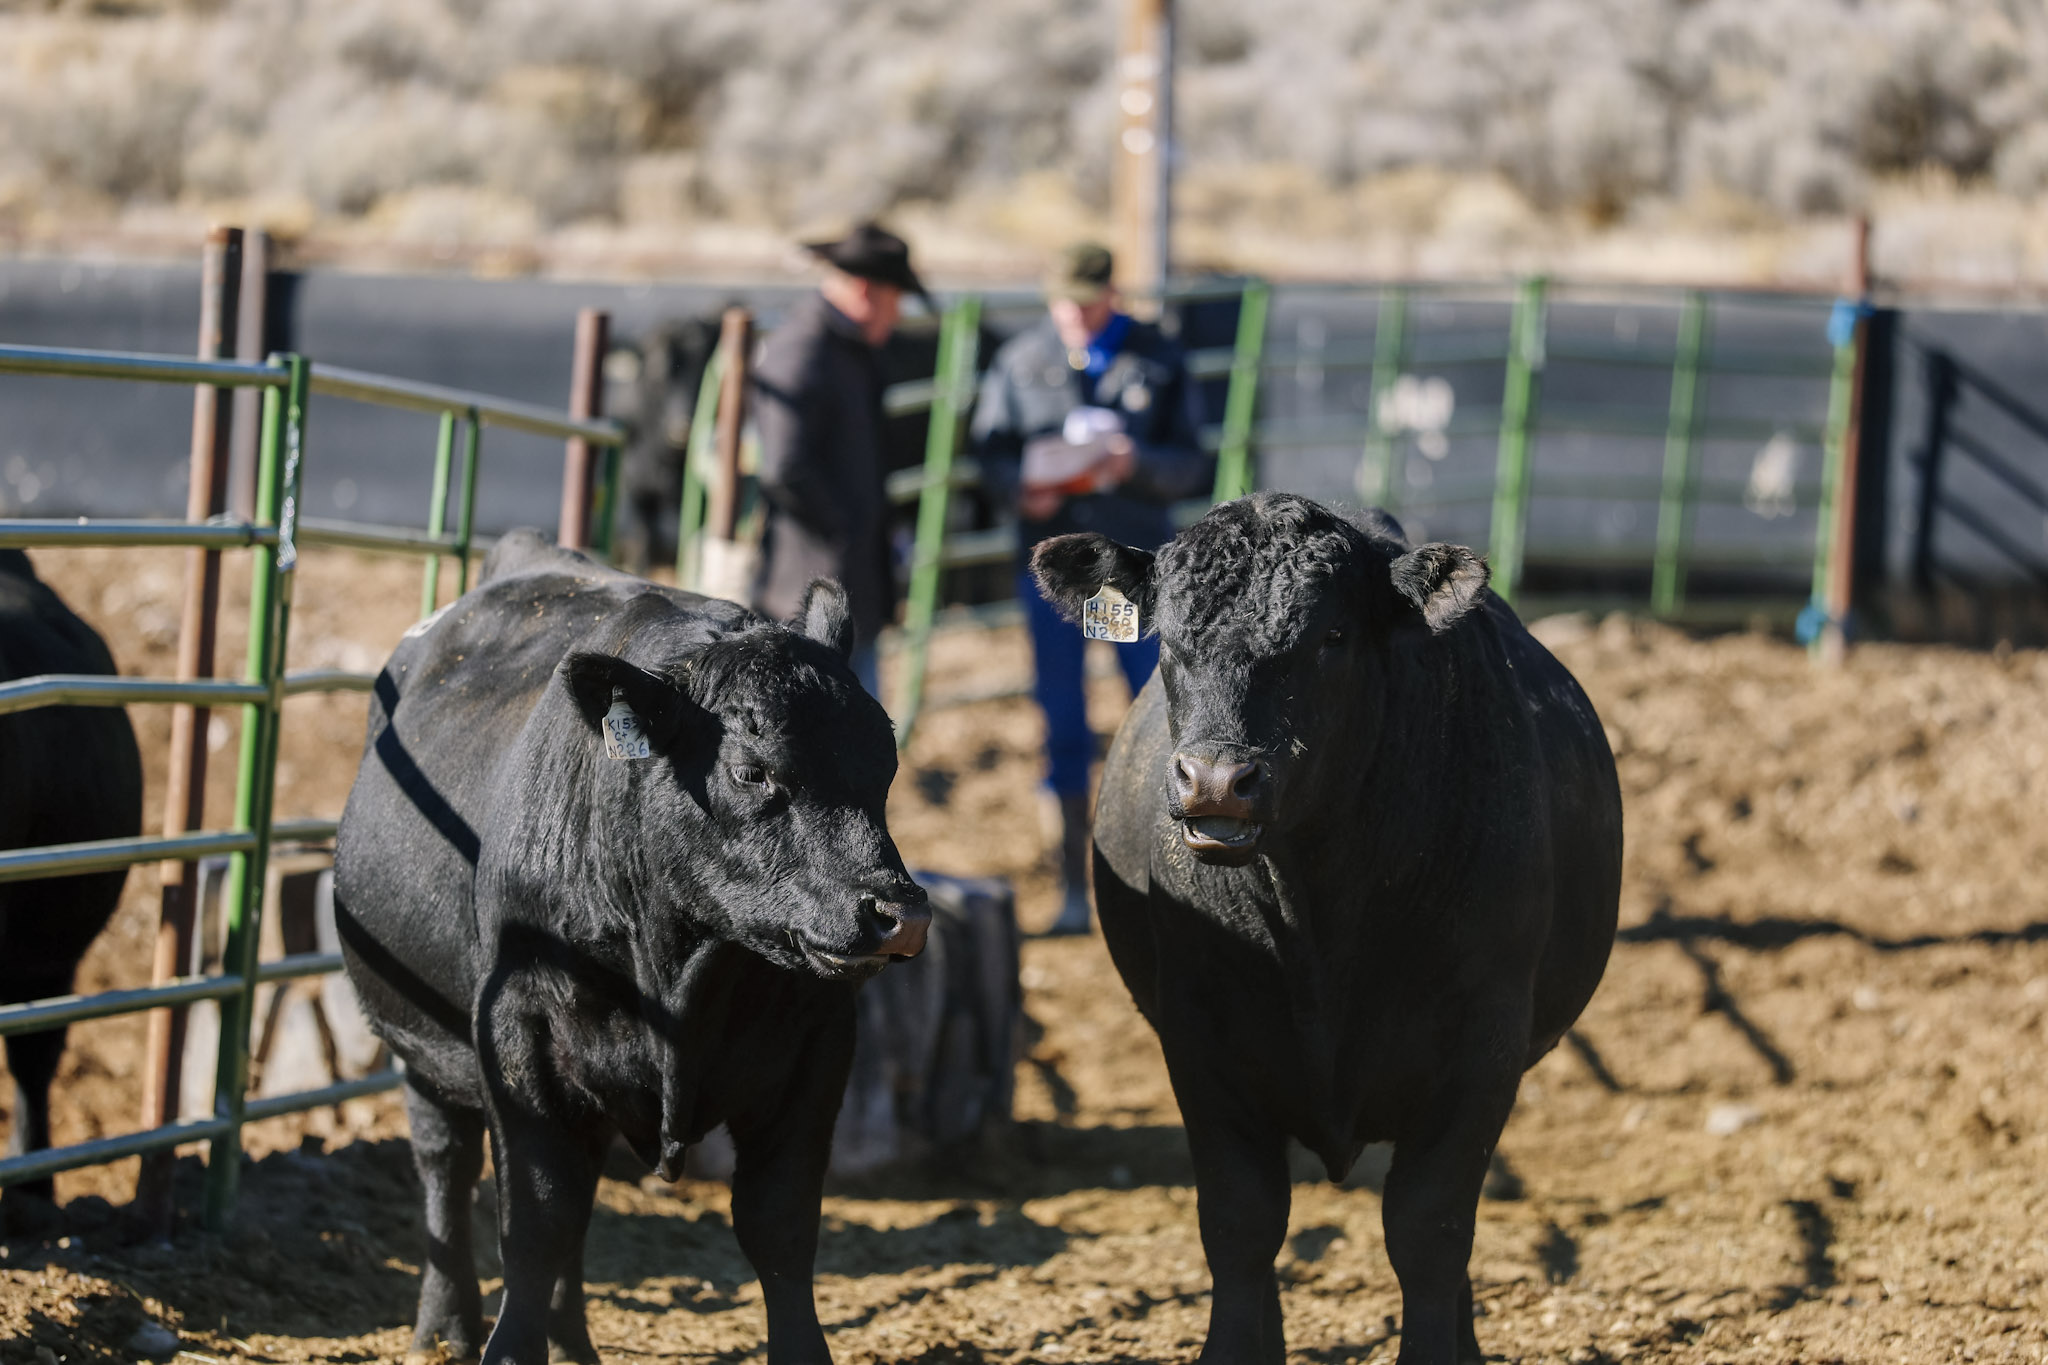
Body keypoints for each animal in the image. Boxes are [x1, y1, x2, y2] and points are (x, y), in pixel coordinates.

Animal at [334, 530, 929, 1365]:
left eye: (885, 763)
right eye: (752, 769)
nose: (899, 912)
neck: (687, 972)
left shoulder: (819, 1044)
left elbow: (779, 1226)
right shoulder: (517, 1033)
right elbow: (537, 1219)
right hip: (420, 1045)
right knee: (446, 1164)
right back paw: (443, 1328)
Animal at [1031, 493, 1622, 1365]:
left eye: (1331, 637)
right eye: (1168, 636)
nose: (1216, 781)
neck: (1319, 914)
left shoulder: (1485, 1045)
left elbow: (1430, 1230)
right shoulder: (1199, 1037)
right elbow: (1240, 1223)